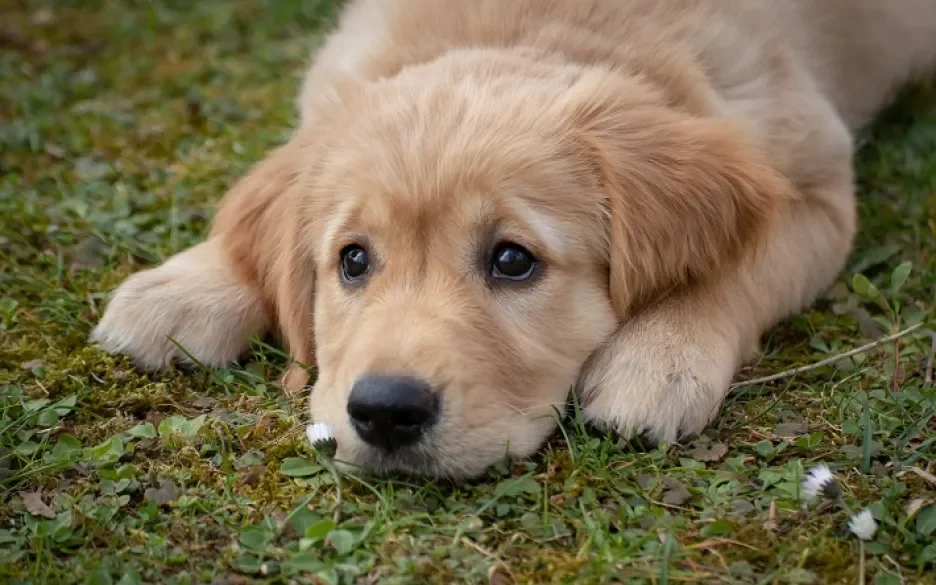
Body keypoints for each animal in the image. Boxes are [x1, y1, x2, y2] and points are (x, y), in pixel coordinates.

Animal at [93, 0, 936, 480]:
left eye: (512, 260)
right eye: (352, 259)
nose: (386, 411)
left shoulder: (816, 184)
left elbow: (737, 266)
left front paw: (659, 355)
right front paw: (186, 286)